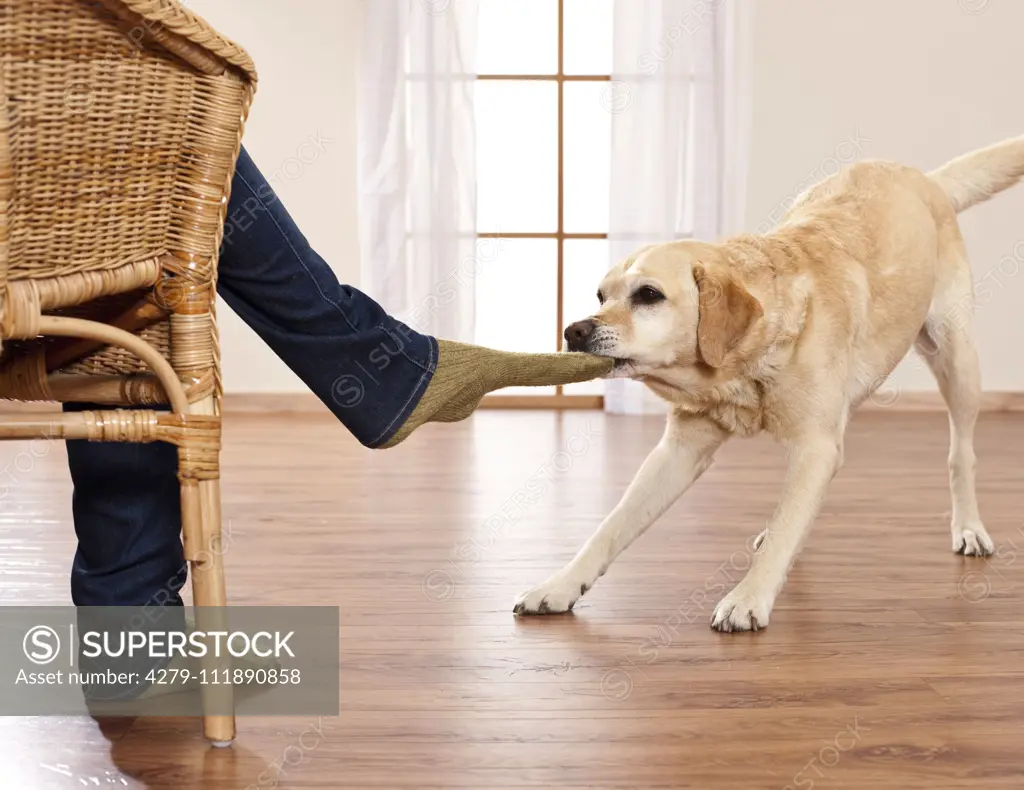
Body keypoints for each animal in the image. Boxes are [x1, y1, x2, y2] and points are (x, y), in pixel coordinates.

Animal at [516, 134, 1024, 631]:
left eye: (649, 295)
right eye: (601, 295)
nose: (574, 330)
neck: (744, 362)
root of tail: (923, 178)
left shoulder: (816, 445)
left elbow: (788, 522)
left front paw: (747, 598)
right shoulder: (680, 449)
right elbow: (611, 526)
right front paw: (559, 585)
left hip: (956, 358)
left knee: (961, 454)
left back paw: (969, 527)